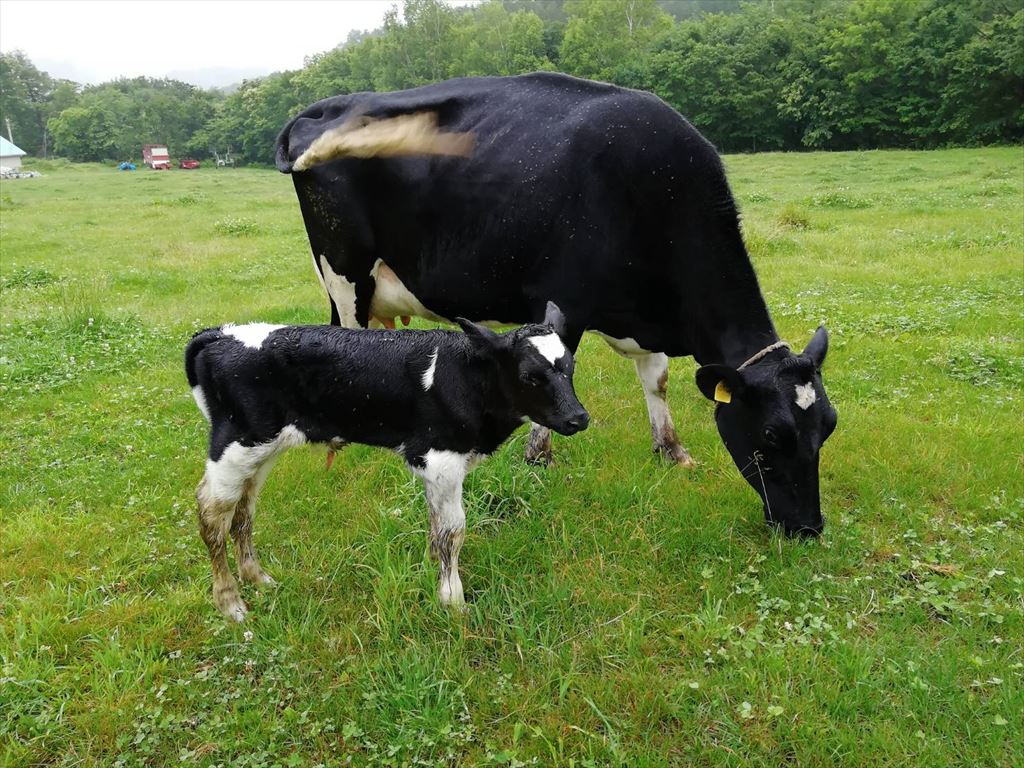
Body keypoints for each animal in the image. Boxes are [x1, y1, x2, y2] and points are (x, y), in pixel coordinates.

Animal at [183, 303, 585, 622]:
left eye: (570, 367)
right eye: (530, 376)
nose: (578, 418)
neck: (467, 376)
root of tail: (219, 333)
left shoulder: (435, 466)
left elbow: (436, 527)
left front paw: (436, 575)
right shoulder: (441, 459)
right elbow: (452, 532)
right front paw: (453, 601)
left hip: (261, 449)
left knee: (243, 509)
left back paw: (257, 578)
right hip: (235, 444)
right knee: (212, 513)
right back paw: (230, 602)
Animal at [276, 75, 835, 536]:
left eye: (828, 426)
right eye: (772, 433)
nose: (808, 527)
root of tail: (328, 104)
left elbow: (656, 380)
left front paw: (672, 450)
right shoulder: (564, 301)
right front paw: (539, 459)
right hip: (346, 273)